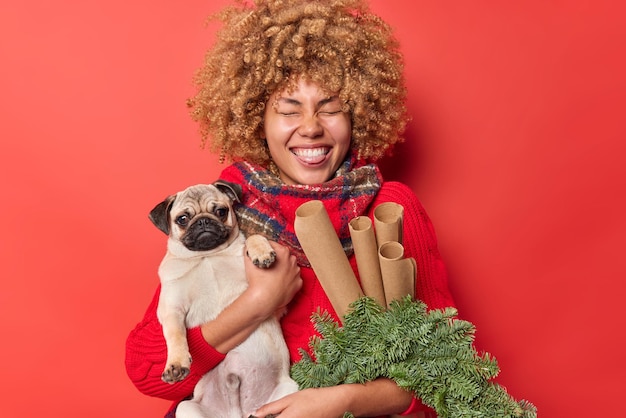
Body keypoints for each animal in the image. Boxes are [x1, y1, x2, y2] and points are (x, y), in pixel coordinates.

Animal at [150, 182, 298, 418]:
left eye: (221, 211)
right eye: (182, 219)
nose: (203, 221)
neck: (208, 256)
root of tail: (237, 413)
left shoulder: (279, 305)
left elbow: (252, 238)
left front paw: (261, 252)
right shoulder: (172, 309)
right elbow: (175, 334)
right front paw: (176, 364)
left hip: (289, 390)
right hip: (187, 407)